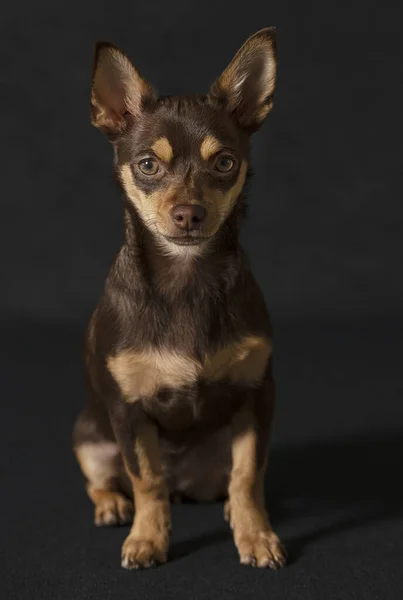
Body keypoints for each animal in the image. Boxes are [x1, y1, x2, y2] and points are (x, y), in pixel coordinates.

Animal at [72, 27, 288, 572]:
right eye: (147, 165)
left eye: (225, 163)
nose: (189, 213)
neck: (186, 279)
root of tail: (186, 485)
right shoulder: (127, 412)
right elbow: (146, 479)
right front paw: (148, 539)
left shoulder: (257, 397)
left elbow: (248, 475)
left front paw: (256, 535)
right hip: (89, 435)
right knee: (107, 479)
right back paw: (113, 506)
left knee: (231, 481)